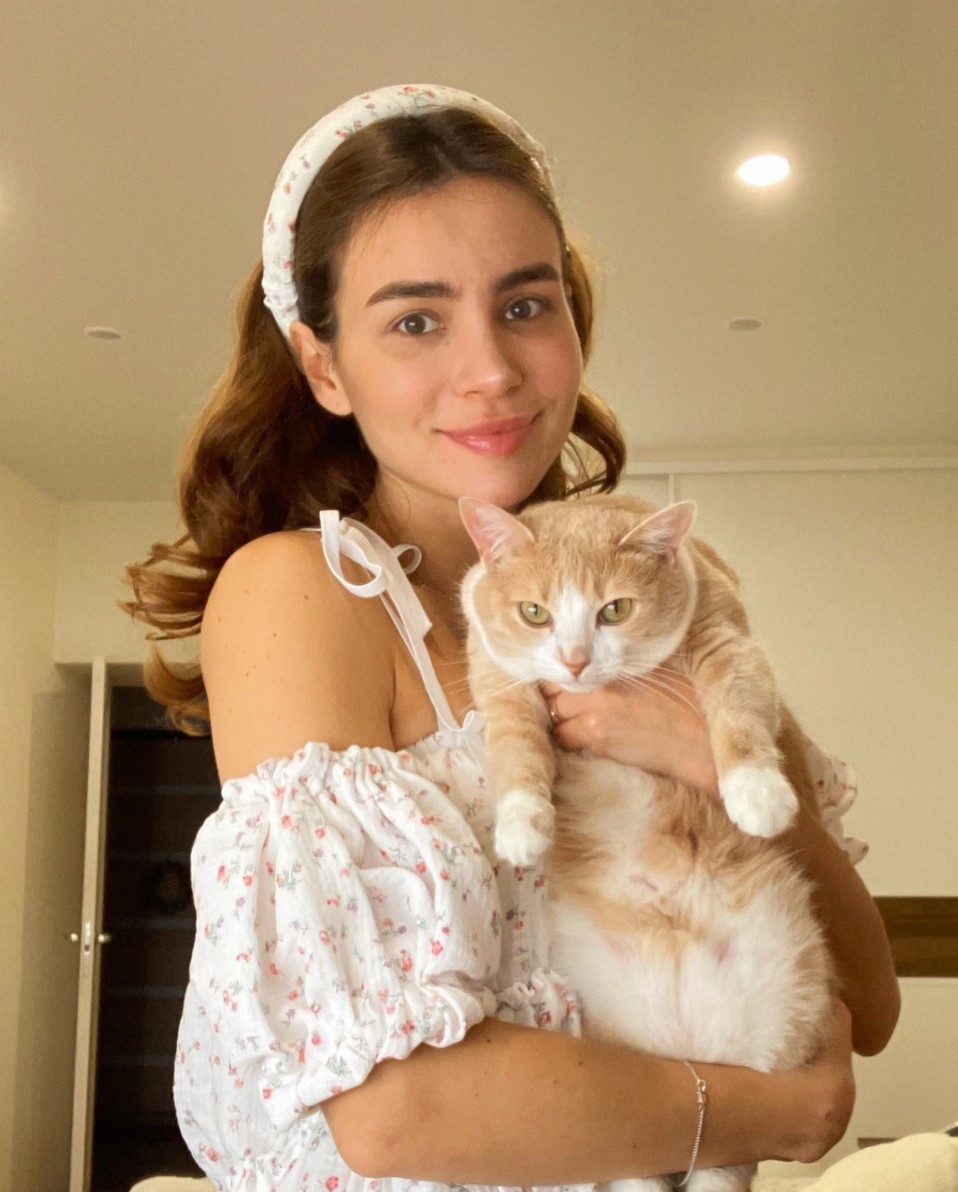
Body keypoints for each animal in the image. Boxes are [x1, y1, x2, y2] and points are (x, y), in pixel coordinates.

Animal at [459, 493, 835, 1192]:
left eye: (615, 610)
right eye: (534, 612)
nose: (575, 660)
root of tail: (693, 1054)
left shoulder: (724, 640)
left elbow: (737, 714)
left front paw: (756, 793)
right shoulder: (502, 685)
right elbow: (515, 751)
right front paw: (523, 826)